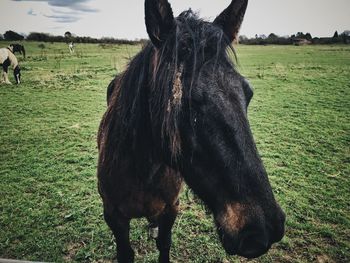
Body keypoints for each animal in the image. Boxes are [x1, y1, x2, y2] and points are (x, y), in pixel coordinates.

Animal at [97, 1, 286, 262]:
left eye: (248, 93)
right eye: (185, 103)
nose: (264, 229)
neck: (143, 171)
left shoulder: (170, 209)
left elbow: (164, 243)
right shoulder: (114, 217)